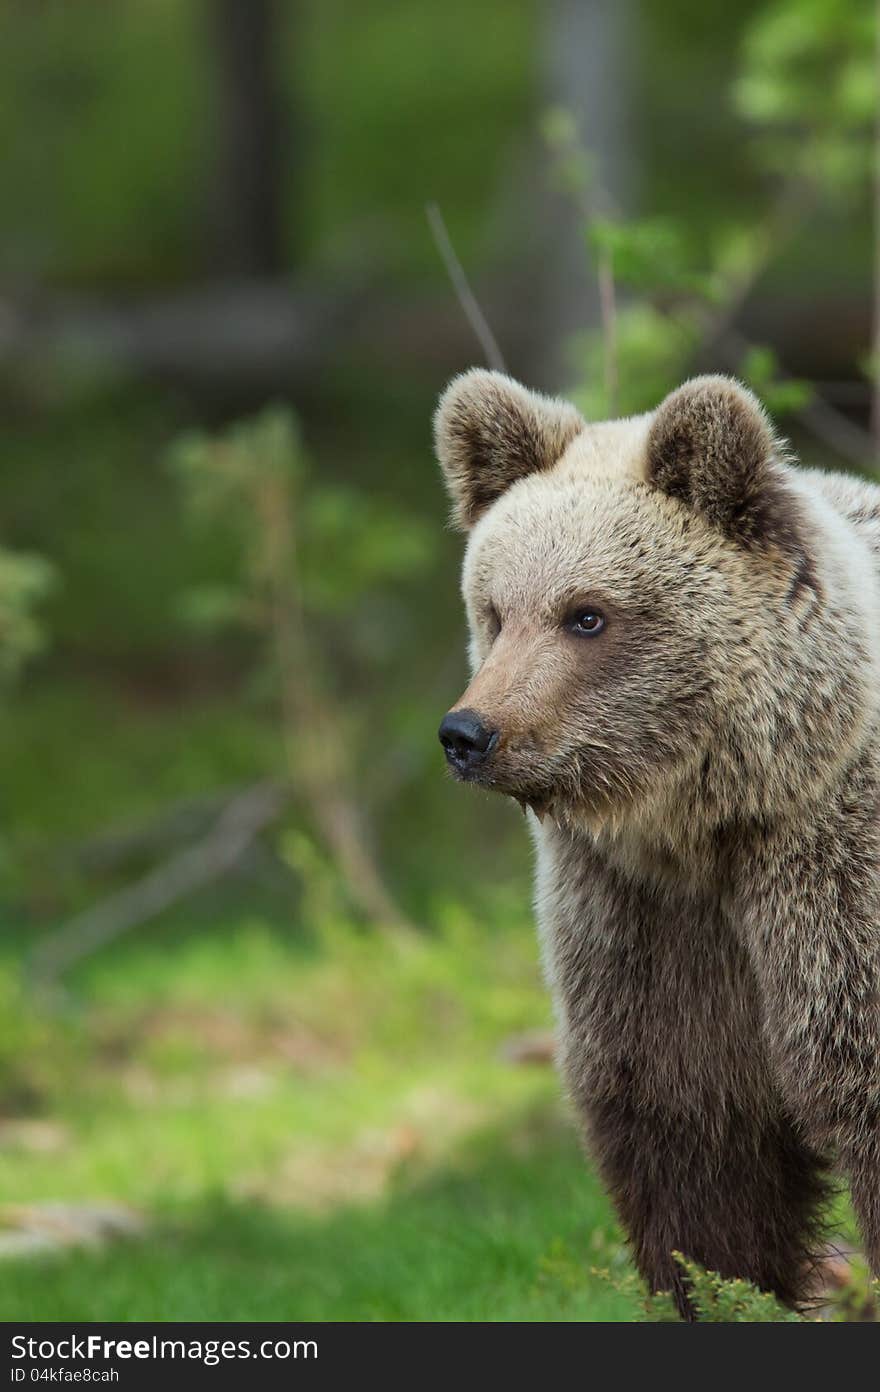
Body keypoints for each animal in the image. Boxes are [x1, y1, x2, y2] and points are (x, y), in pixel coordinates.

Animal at [431, 367, 880, 1314]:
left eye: (586, 615)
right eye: (495, 610)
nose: (469, 733)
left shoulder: (828, 875)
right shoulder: (645, 919)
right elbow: (688, 1127)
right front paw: (729, 1288)